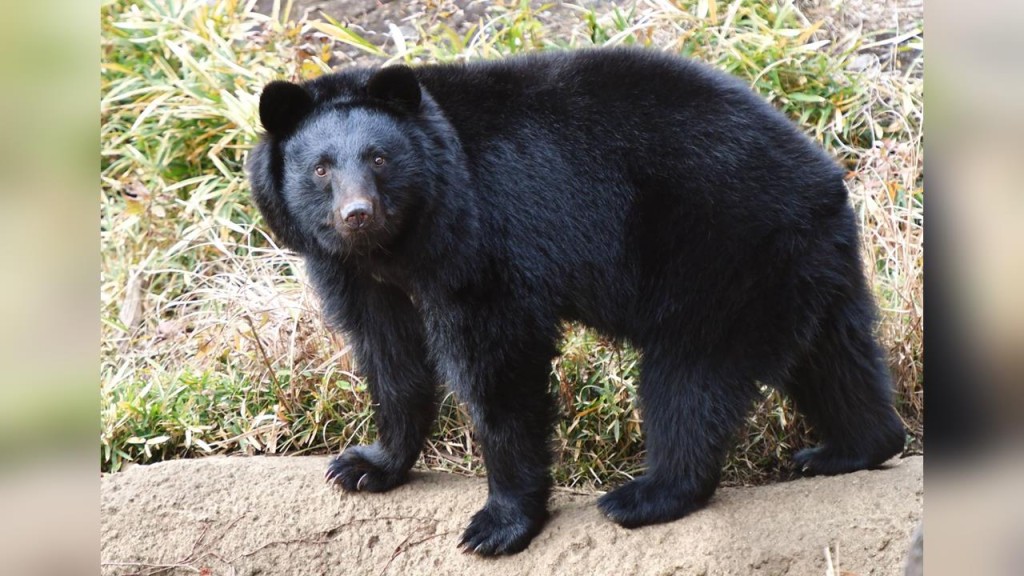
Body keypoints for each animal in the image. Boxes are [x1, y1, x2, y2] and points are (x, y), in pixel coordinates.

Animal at [246, 47, 906, 556]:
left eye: (379, 159)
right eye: (321, 169)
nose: (358, 214)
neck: (404, 239)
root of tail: (825, 178)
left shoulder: (485, 238)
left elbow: (498, 367)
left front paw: (497, 524)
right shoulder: (355, 272)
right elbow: (390, 356)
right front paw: (365, 466)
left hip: (720, 257)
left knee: (690, 378)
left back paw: (647, 495)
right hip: (806, 266)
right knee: (836, 357)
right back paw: (852, 448)